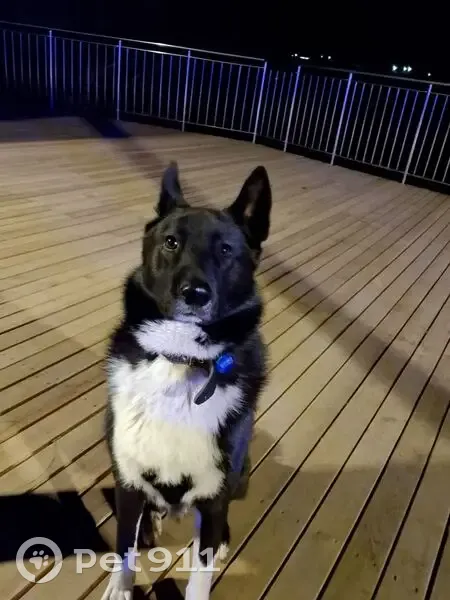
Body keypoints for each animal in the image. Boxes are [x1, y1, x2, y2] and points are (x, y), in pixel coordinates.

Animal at [102, 161, 272, 600]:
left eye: (226, 250)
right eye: (171, 242)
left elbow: (200, 572)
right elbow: (124, 545)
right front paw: (121, 586)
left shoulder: (215, 490)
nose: (195, 293)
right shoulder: (127, 479)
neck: (181, 358)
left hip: (240, 475)